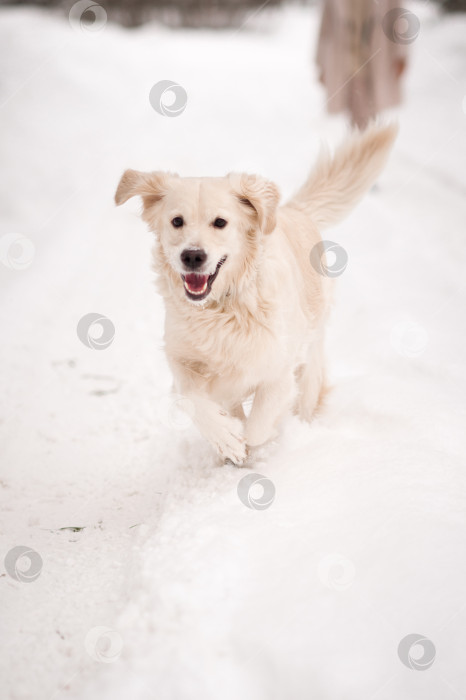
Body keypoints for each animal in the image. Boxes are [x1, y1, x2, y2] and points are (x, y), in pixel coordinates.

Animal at [114, 124, 396, 464]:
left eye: (220, 222)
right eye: (177, 221)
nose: (192, 256)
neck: (222, 308)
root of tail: (294, 210)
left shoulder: (278, 370)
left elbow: (259, 424)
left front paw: (253, 444)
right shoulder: (181, 358)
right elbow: (194, 398)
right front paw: (226, 439)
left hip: (311, 357)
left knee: (306, 396)